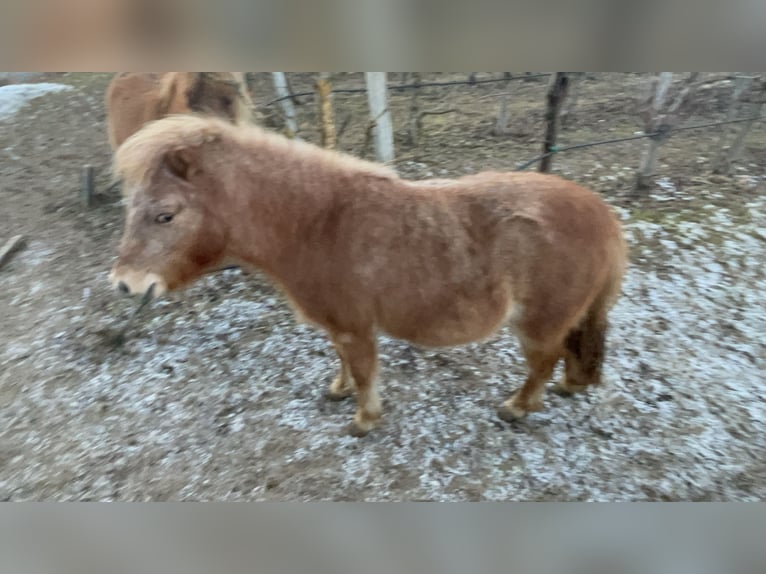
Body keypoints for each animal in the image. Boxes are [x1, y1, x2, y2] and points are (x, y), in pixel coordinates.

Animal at [110, 115, 627, 437]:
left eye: (164, 215)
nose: (125, 284)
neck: (320, 223)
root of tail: (602, 213)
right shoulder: (340, 327)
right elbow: (341, 363)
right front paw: (338, 392)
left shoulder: (355, 328)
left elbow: (362, 372)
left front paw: (364, 419)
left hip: (538, 324)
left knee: (544, 361)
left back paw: (518, 407)